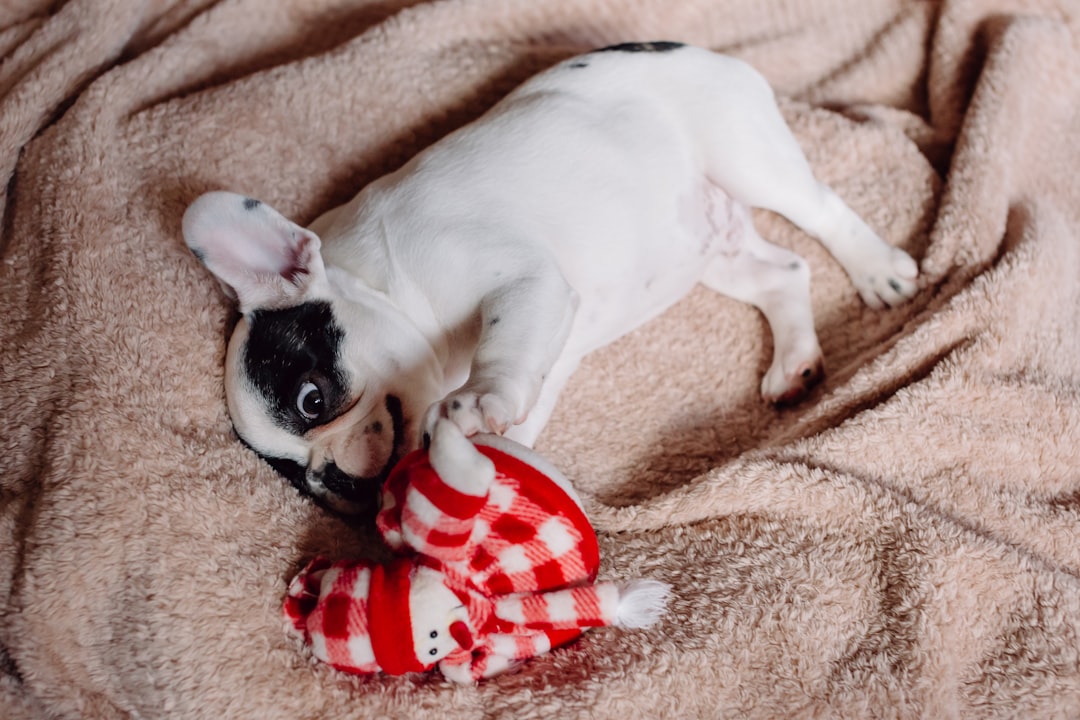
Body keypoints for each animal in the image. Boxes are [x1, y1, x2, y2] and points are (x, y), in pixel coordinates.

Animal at [183, 42, 920, 511]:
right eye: (293, 478)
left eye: (313, 399)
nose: (333, 482)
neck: (381, 282)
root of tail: (688, 48)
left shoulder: (523, 280)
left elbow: (501, 348)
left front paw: (479, 399)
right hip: (715, 254)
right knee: (784, 274)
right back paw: (794, 364)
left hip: (745, 156)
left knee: (821, 211)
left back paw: (879, 270)